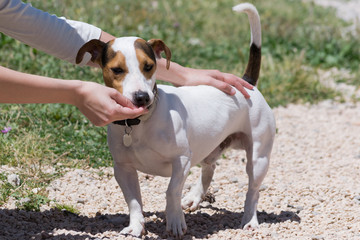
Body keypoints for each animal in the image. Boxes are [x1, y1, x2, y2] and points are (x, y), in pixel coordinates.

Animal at [76, 2, 276, 239]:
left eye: (149, 66)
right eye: (116, 69)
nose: (142, 97)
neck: (141, 124)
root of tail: (247, 84)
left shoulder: (181, 159)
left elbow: (172, 190)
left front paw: (175, 221)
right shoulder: (123, 168)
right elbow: (133, 201)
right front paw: (136, 226)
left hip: (258, 158)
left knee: (253, 190)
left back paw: (250, 220)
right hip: (211, 147)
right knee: (209, 168)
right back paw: (195, 196)